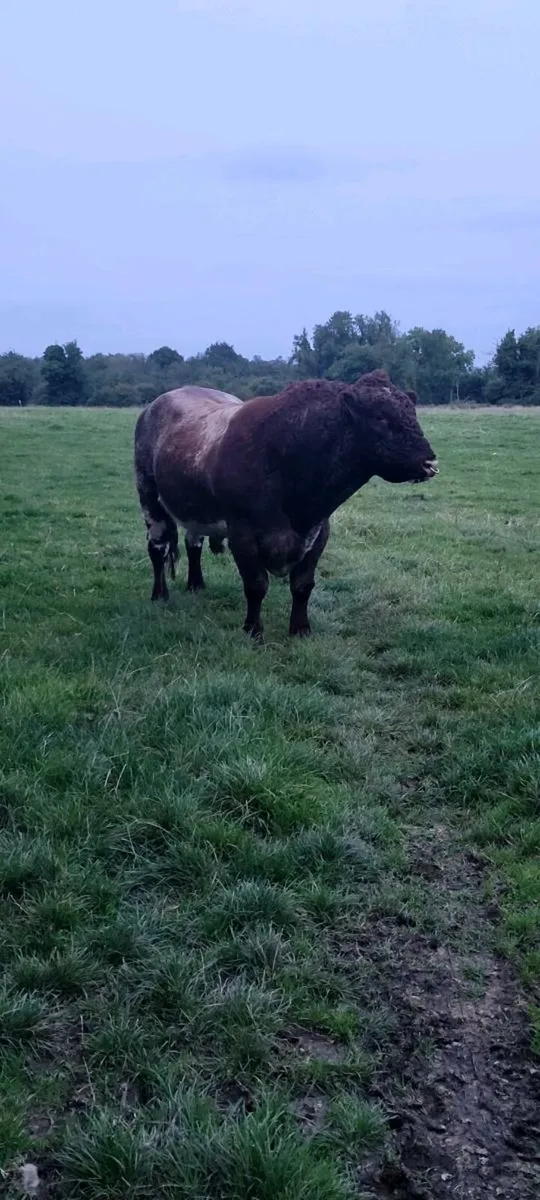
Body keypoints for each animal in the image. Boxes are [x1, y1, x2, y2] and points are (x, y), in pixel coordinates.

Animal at [134, 371, 438, 639]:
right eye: (381, 417)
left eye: (413, 413)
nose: (430, 462)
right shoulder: (242, 532)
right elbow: (255, 585)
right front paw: (253, 631)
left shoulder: (319, 529)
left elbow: (303, 585)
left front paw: (300, 629)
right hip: (148, 497)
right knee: (157, 548)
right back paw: (159, 594)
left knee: (193, 542)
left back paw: (196, 585)